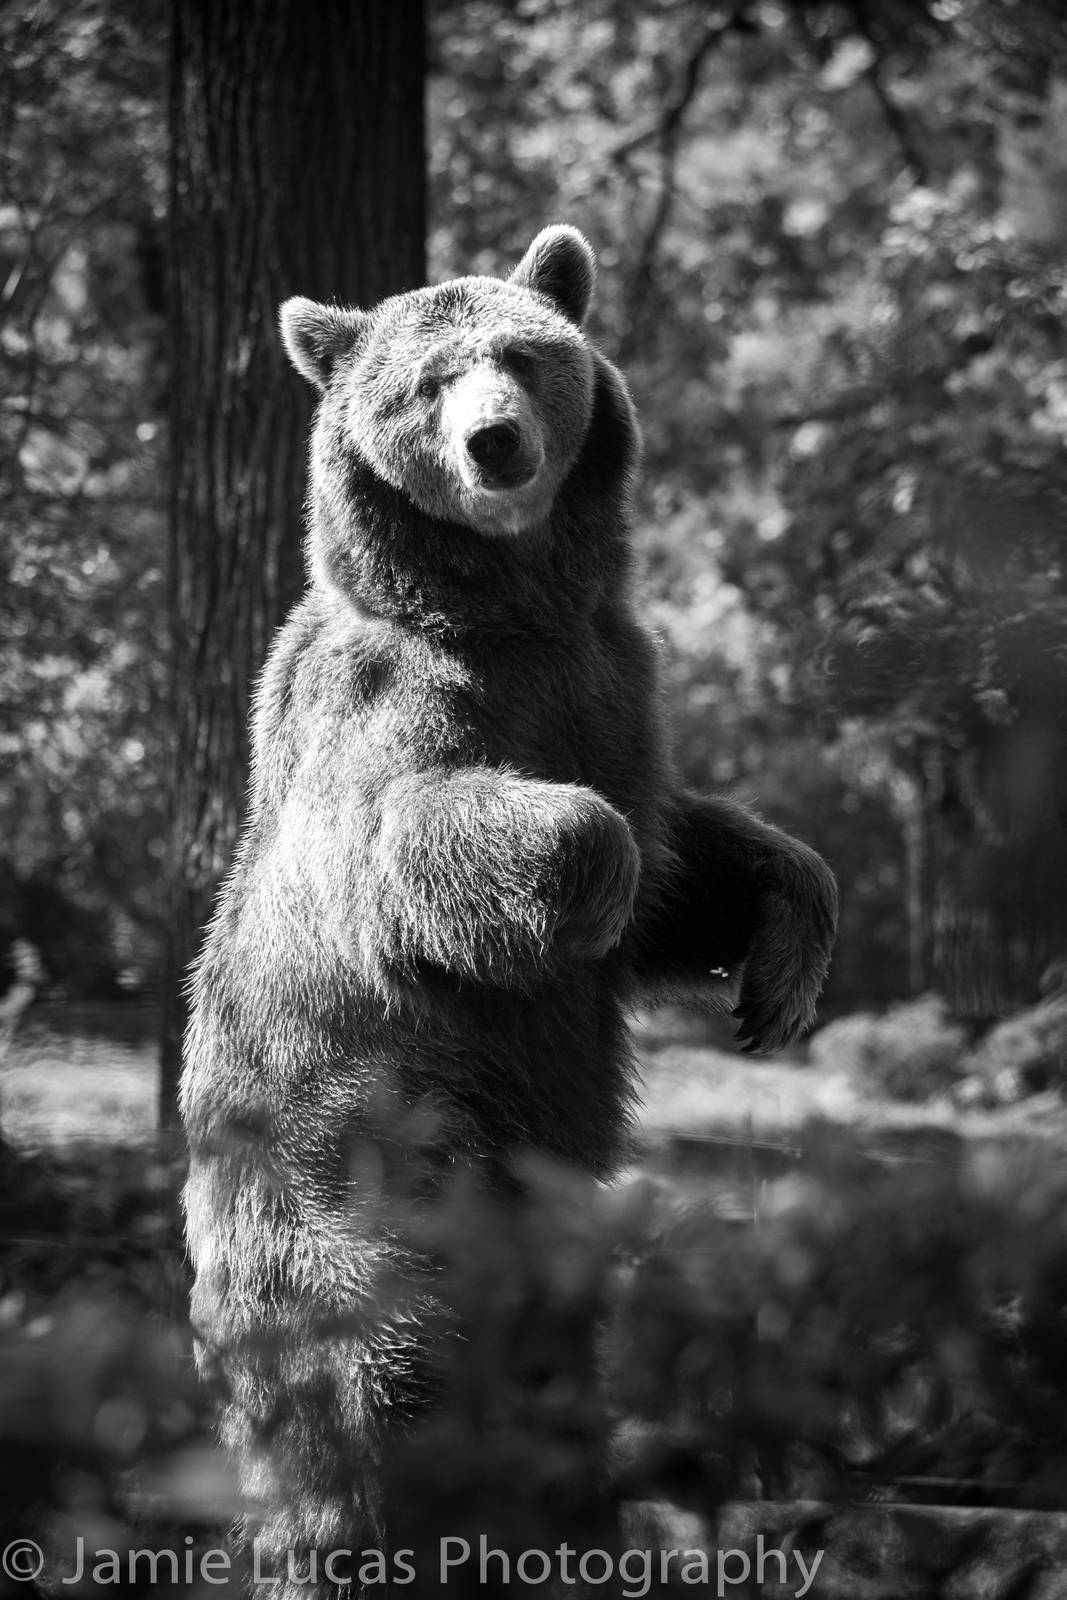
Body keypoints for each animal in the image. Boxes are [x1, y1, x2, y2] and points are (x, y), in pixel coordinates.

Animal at [180, 225, 837, 1590]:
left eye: (524, 356)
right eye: (424, 382)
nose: (495, 442)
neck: (512, 605)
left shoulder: (614, 682)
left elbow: (680, 846)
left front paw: (777, 962)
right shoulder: (392, 711)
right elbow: (461, 837)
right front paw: (594, 882)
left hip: (531, 1235)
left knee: (552, 1386)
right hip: (361, 1180)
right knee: (381, 1388)